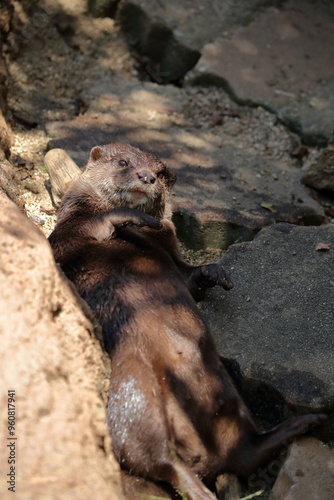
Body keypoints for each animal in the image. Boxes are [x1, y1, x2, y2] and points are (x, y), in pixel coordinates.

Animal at [48, 144, 328, 500]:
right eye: (123, 162)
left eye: (161, 172)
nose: (146, 177)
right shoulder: (68, 232)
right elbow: (89, 228)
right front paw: (130, 216)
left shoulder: (171, 247)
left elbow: (190, 278)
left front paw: (215, 272)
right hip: (134, 389)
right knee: (153, 457)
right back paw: (200, 488)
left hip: (227, 394)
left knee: (242, 453)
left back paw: (304, 424)